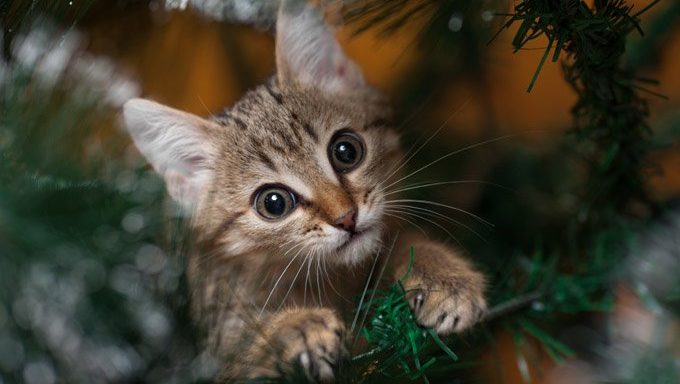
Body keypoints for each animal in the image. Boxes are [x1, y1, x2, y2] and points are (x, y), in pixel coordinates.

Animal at [121, 0, 484, 380]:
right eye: (274, 203)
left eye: (346, 151)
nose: (347, 217)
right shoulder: (208, 344)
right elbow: (239, 348)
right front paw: (295, 328)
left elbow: (400, 240)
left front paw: (441, 273)